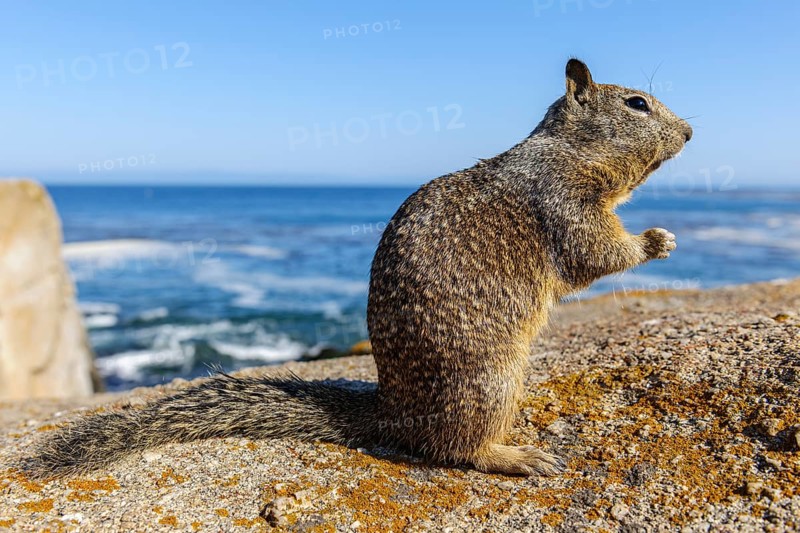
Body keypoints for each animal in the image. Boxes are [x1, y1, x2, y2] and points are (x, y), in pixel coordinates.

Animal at [22, 59, 691, 479]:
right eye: (637, 103)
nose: (689, 129)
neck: (568, 150)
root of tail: (391, 410)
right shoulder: (564, 202)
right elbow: (597, 251)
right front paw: (657, 240)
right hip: (494, 380)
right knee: (455, 449)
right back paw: (515, 455)